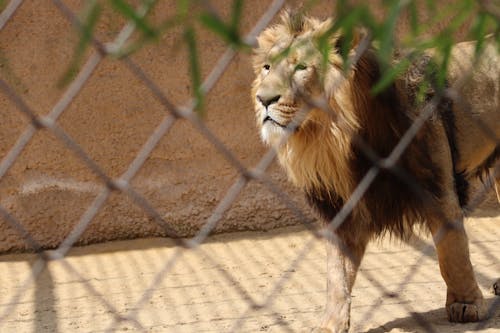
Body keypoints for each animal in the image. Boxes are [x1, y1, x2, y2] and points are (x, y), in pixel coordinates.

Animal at [254, 10, 500, 332]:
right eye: (267, 68)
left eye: (301, 67)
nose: (263, 99)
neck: (335, 137)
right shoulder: (341, 208)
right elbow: (336, 273)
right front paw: (330, 322)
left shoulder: (437, 186)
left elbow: (453, 252)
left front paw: (466, 304)